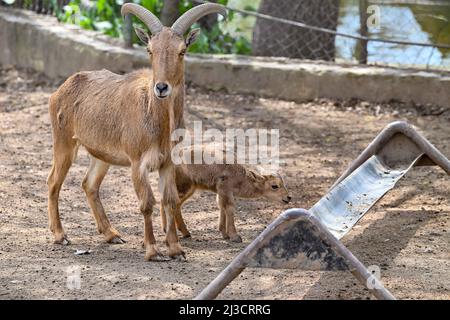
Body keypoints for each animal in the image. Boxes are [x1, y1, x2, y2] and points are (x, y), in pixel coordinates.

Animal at [46, 3, 225, 262]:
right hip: (64, 143)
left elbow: (169, 200)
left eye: (182, 51)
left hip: (101, 155)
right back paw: (60, 235)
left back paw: (111, 234)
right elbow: (147, 203)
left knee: (89, 184)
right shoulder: (137, 163)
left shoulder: (167, 163)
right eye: (150, 50)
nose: (161, 87)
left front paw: (176, 249)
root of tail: (63, 87)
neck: (157, 121)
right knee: (53, 182)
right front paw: (152, 250)